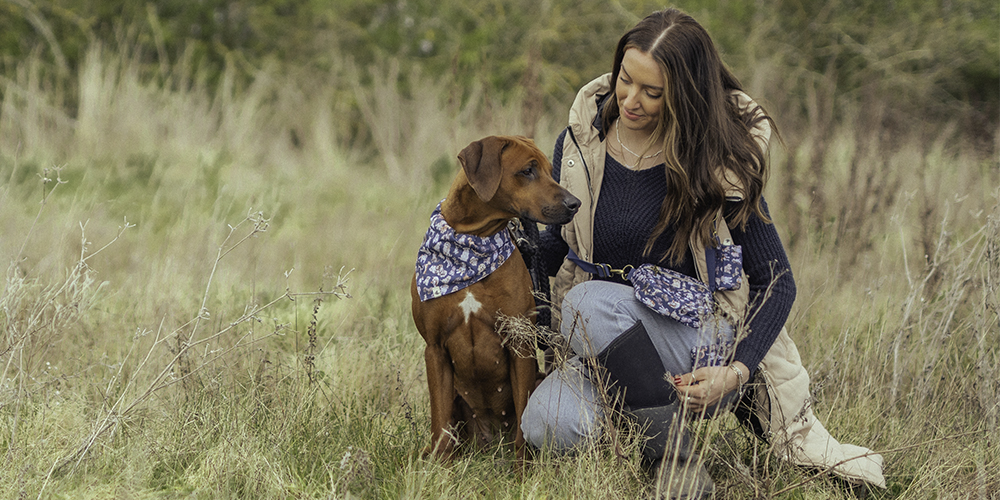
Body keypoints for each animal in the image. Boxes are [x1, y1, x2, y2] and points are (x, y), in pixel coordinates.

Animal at [408, 134, 580, 460]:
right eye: (528, 170)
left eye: (552, 171)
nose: (575, 203)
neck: (472, 241)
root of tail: (490, 443)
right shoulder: (434, 349)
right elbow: (440, 424)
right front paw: (440, 468)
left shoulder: (519, 342)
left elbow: (524, 420)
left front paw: (523, 470)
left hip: (539, 378)